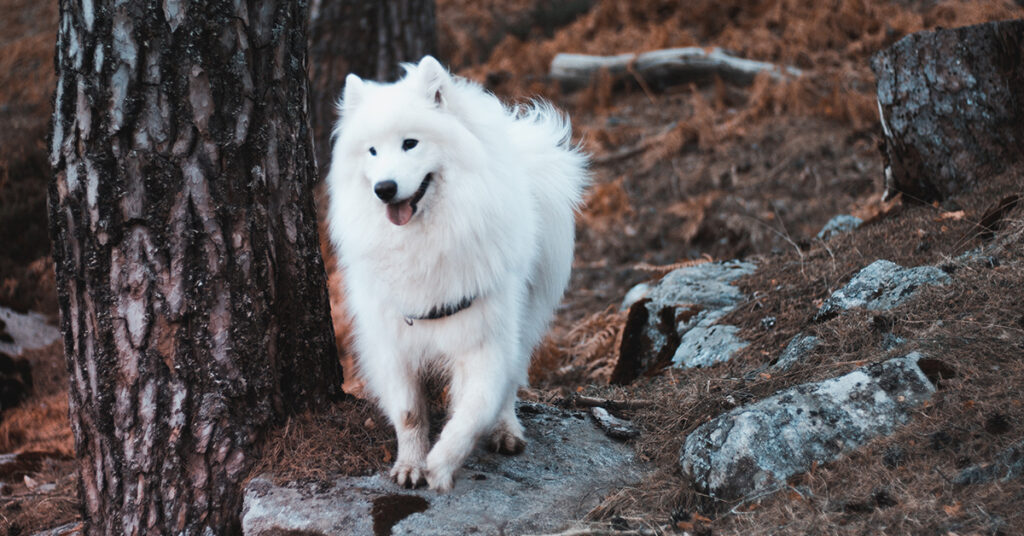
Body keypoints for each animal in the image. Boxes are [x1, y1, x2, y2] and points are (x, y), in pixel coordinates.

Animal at [323, 56, 589, 493]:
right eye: (372, 151)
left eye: (410, 143)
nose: (384, 188)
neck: (423, 242)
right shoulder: (393, 344)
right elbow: (410, 413)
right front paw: (411, 464)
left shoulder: (483, 339)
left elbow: (474, 410)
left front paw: (441, 463)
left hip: (523, 319)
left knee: (510, 384)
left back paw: (506, 431)